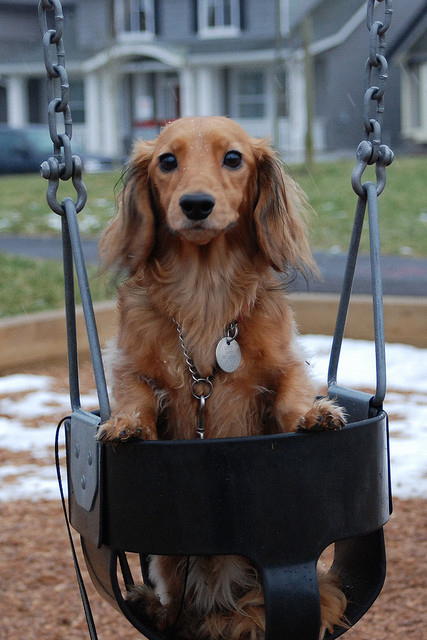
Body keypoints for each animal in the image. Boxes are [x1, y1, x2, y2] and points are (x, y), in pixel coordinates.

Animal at [99, 117, 348, 636]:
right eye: (167, 161)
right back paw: (155, 606)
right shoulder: (130, 364)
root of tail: (222, 594)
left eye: (233, 158)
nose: (196, 205)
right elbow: (136, 396)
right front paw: (127, 425)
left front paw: (314, 414)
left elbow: (292, 394)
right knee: (175, 603)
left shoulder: (285, 361)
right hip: (169, 562)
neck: (204, 289)